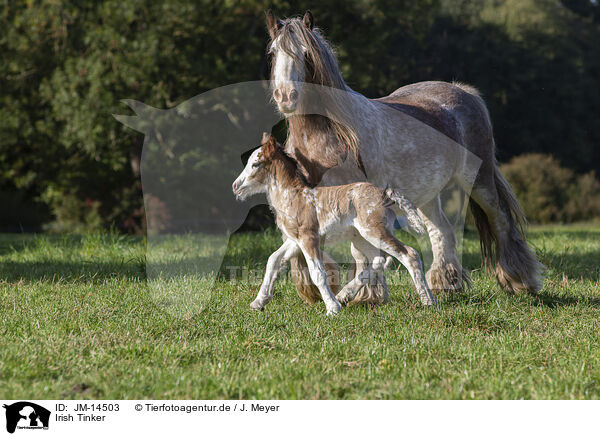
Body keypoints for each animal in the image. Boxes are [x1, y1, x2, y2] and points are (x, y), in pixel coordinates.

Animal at [231, 135, 436, 316]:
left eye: (255, 164)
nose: (235, 186)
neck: (295, 197)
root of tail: (385, 194)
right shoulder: (295, 239)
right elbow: (273, 260)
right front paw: (258, 302)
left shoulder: (308, 238)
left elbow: (317, 272)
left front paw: (331, 308)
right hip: (360, 237)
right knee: (380, 260)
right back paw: (344, 296)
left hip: (375, 231)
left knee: (409, 254)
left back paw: (428, 301)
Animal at [264, 11, 540, 304]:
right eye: (273, 52)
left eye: (306, 54)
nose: (285, 96)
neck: (328, 136)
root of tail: (465, 92)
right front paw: (315, 289)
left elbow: (361, 251)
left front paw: (367, 295)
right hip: (427, 195)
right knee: (442, 231)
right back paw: (445, 283)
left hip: (478, 181)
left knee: (500, 220)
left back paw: (519, 281)